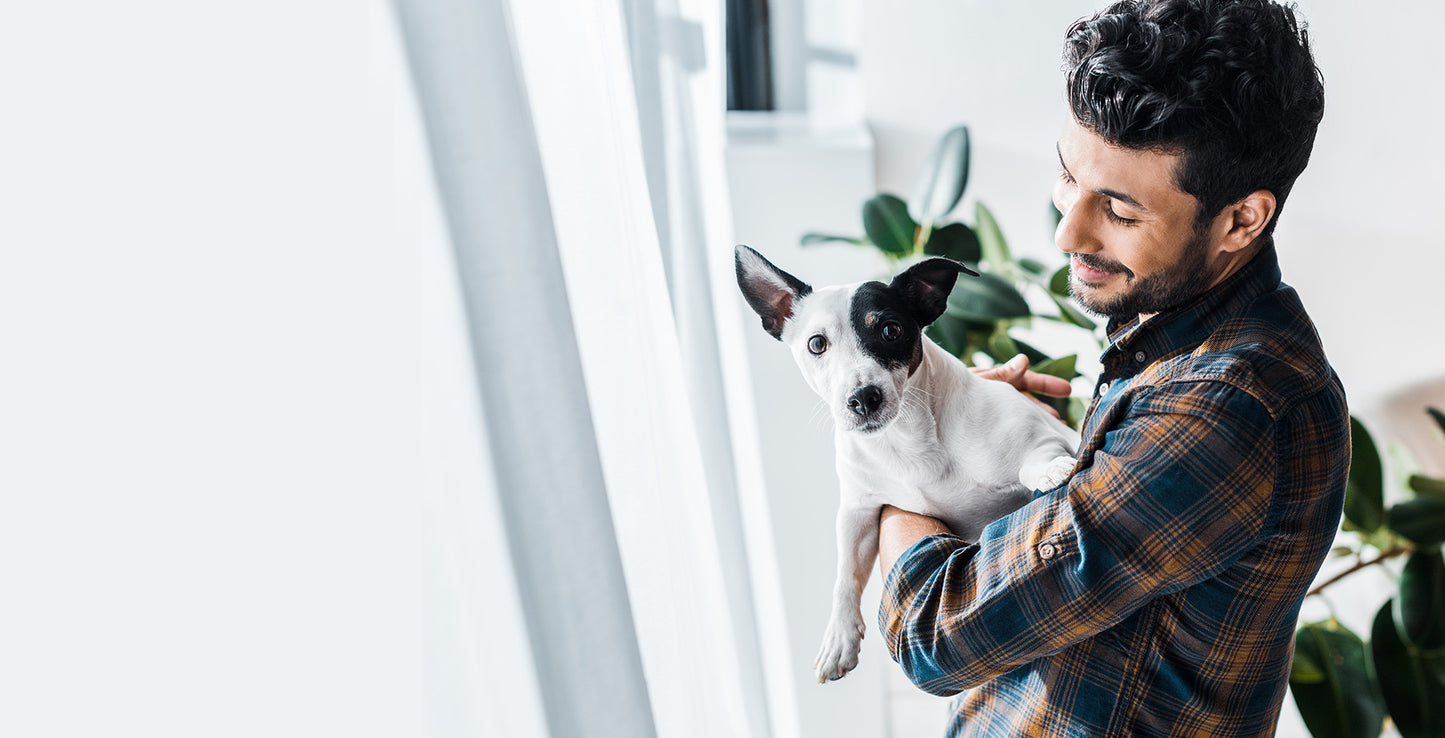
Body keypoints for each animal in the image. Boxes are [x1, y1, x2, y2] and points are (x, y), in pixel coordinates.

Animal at [739, 245, 1080, 684]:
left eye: (890, 330)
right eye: (817, 344)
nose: (863, 398)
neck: (904, 437)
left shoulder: (1045, 435)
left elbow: (1036, 460)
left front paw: (1050, 471)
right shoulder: (859, 511)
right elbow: (846, 574)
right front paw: (839, 638)